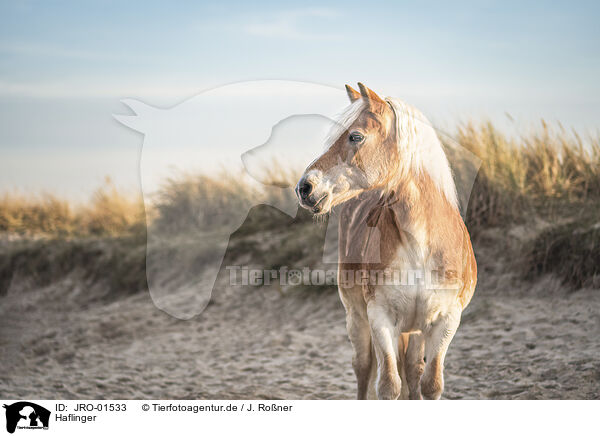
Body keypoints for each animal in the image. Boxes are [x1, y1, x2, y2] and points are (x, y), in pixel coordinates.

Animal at [296, 83, 478, 400]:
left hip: (413, 330)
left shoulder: (445, 321)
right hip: (356, 316)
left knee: (413, 369)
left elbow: (430, 384)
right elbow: (388, 385)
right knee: (363, 367)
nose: (304, 187)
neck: (420, 247)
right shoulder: (380, 318)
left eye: (355, 136)